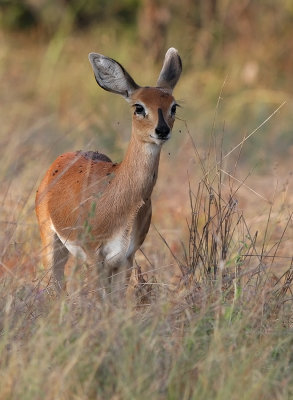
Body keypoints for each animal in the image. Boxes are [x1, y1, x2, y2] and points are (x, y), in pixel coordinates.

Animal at [34, 46, 180, 296]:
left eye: (173, 105)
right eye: (139, 106)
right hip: (51, 240)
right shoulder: (94, 255)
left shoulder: (125, 258)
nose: (162, 130)